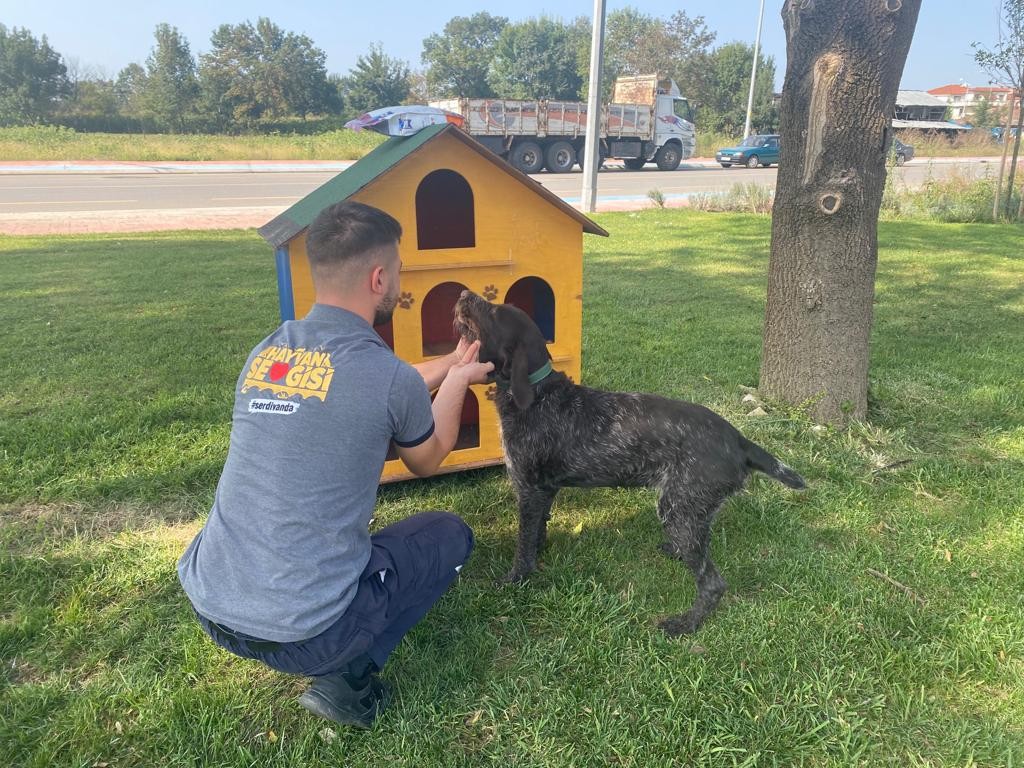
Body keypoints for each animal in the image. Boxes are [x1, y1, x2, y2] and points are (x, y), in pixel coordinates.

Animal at [456, 290, 806, 638]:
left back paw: (686, 623)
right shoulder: (544, 490)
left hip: (678, 509)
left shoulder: (528, 489)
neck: (537, 394)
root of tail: (737, 439)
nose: (463, 293)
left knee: (713, 583)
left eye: (494, 312)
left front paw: (517, 578)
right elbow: (537, 530)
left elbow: (523, 543)